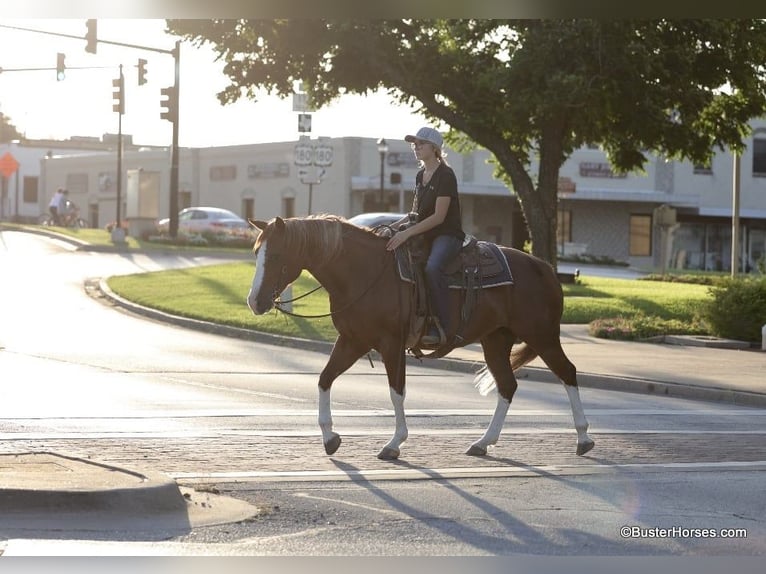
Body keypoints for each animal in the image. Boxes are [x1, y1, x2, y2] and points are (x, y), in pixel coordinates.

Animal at [249, 216, 596, 464]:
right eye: (255, 252)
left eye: (276, 254)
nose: (254, 301)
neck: (363, 273)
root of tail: (545, 268)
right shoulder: (352, 341)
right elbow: (324, 380)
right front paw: (329, 438)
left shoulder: (390, 344)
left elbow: (396, 392)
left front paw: (393, 444)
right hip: (495, 341)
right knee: (507, 386)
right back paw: (483, 442)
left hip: (542, 335)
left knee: (567, 373)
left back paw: (583, 438)